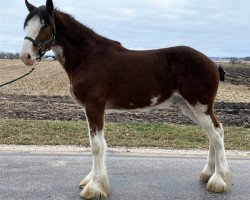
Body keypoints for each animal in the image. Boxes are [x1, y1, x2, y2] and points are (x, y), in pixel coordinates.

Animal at [19, 0, 230, 199]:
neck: (88, 57)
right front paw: (92, 180)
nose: (25, 56)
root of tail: (212, 63)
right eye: (26, 24)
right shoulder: (90, 108)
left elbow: (97, 145)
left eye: (45, 25)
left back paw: (218, 180)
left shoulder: (94, 106)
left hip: (200, 106)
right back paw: (208, 174)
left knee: (216, 133)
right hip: (189, 107)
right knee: (213, 133)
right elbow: (97, 143)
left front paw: (95, 188)